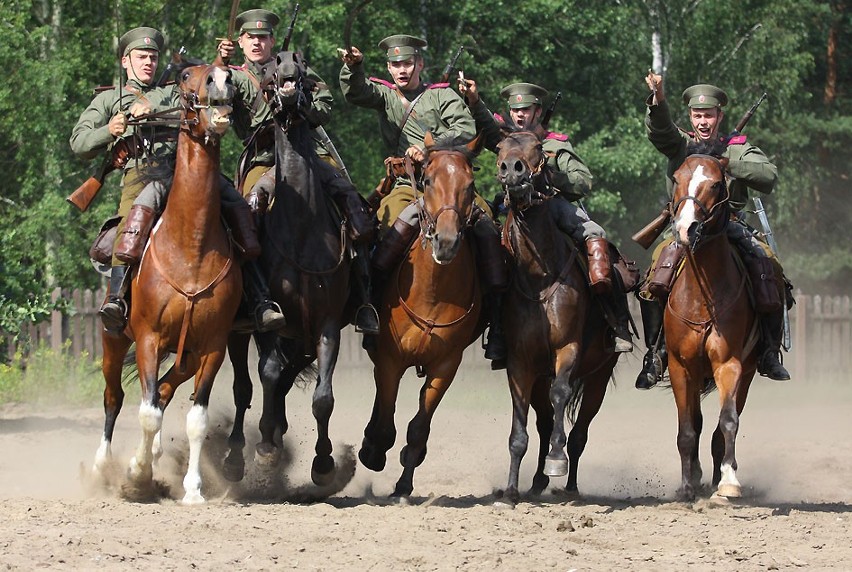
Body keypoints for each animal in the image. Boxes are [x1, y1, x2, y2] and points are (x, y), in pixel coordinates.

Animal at [97, 63, 243, 504]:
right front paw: (136, 475)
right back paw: (101, 467)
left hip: (186, 355)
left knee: (162, 392)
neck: (190, 247)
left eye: (225, 74)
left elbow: (196, 419)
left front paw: (193, 489)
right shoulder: (148, 338)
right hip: (114, 340)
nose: (222, 80)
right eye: (186, 76)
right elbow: (145, 413)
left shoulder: (212, 347)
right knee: (115, 398)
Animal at [356, 132, 482, 498]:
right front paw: (372, 452)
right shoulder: (390, 359)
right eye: (427, 180)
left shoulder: (445, 366)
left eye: (470, 184)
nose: (446, 241)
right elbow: (386, 422)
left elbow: (417, 428)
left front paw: (403, 485)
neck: (433, 292)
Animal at [492, 128, 620, 504]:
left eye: (538, 147)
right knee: (546, 422)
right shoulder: (521, 364)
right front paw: (510, 491)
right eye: (499, 147)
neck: (539, 279)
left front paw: (556, 459)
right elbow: (520, 433)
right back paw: (536, 482)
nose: (512, 171)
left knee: (579, 432)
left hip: (598, 378)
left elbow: (561, 394)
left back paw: (571, 484)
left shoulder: (569, 350)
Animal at [664, 149, 760, 500]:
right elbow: (687, 429)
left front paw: (729, 481)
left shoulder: (729, 365)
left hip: (747, 372)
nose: (685, 229)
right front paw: (686, 486)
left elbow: (728, 422)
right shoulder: (681, 367)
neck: (702, 294)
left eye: (717, 184)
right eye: (676, 178)